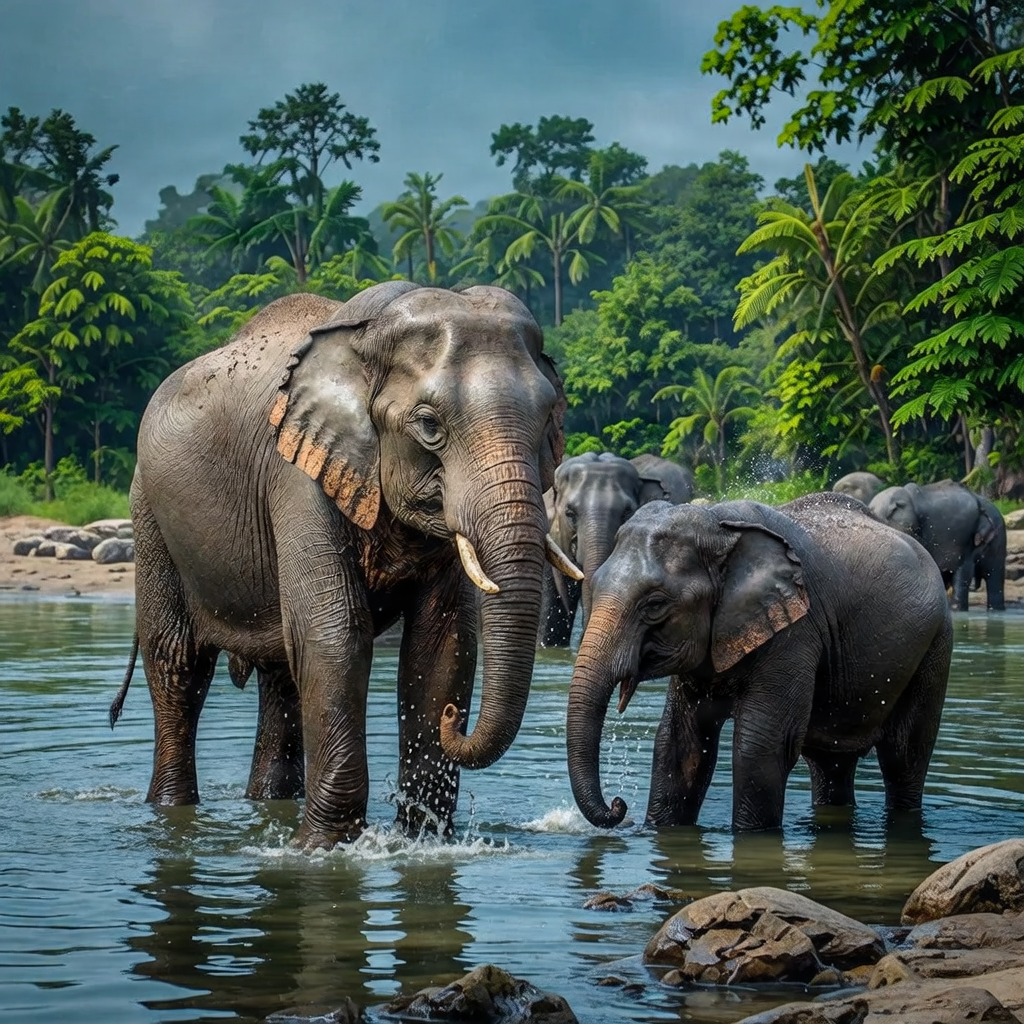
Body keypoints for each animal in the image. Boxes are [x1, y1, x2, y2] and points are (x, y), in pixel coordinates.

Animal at [118, 282, 582, 849]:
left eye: (547, 422)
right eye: (429, 425)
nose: (455, 721)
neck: (370, 337)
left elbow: (442, 643)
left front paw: (423, 842)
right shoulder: (296, 475)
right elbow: (334, 634)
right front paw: (322, 849)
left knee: (280, 671)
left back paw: (268, 802)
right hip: (150, 513)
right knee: (178, 664)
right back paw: (172, 812)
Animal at [565, 491, 953, 832]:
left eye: (655, 605)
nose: (619, 807)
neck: (719, 524)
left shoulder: (796, 632)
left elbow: (760, 746)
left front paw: (752, 836)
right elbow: (679, 742)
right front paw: (663, 829)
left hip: (935, 644)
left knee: (904, 755)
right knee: (830, 764)